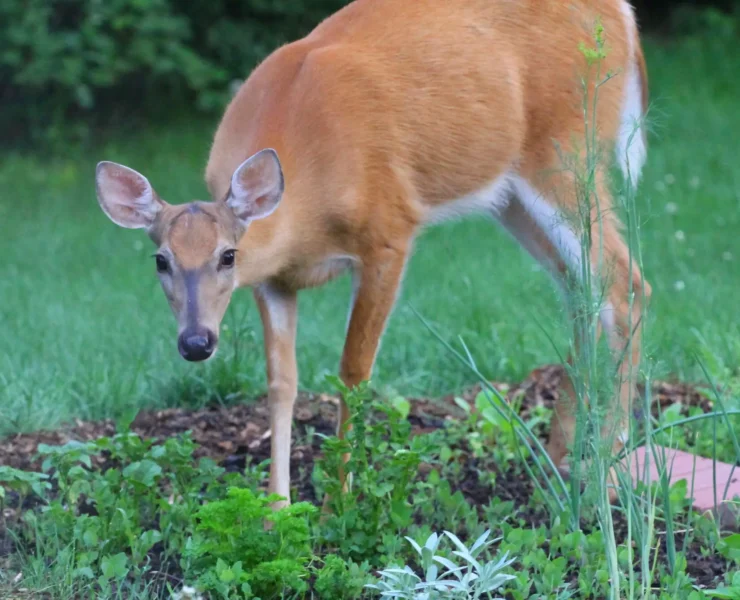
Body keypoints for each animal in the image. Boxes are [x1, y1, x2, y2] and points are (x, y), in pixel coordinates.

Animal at [94, 0, 652, 506]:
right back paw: (559, 464)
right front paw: (277, 511)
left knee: (625, 282)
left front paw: (340, 502)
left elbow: (353, 370)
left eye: (227, 256)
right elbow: (281, 382)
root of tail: (623, 15)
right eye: (161, 261)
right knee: (581, 291)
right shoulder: (273, 281)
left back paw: (607, 470)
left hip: (566, 148)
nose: (196, 342)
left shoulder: (389, 232)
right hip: (511, 195)